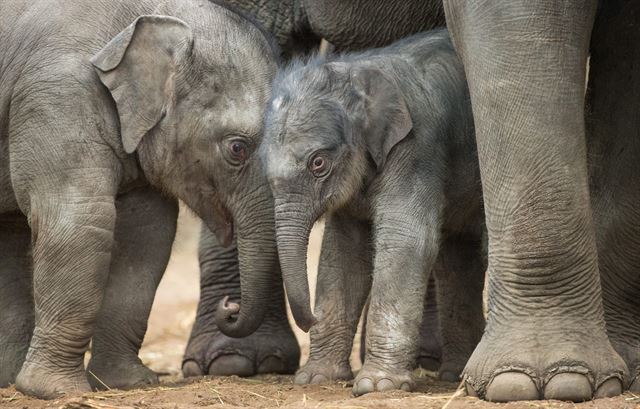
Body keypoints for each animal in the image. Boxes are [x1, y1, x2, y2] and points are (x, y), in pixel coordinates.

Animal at [260, 28, 484, 396]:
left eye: (318, 163)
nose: (311, 318)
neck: (358, 74)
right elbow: (343, 255)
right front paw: (316, 378)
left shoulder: (417, 146)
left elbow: (405, 240)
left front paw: (377, 385)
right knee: (457, 260)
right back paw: (455, 375)